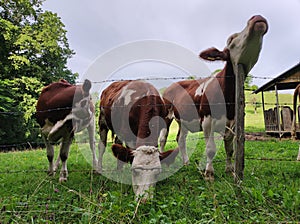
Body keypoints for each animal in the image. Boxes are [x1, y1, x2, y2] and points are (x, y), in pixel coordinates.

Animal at [159, 14, 268, 180]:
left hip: (183, 120)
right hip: (167, 115)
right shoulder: (207, 120)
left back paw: (186, 162)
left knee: (180, 139)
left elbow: (230, 149)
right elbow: (211, 148)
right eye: (231, 39)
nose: (257, 17)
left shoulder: (232, 122)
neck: (228, 100)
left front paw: (230, 169)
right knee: (163, 138)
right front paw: (209, 173)